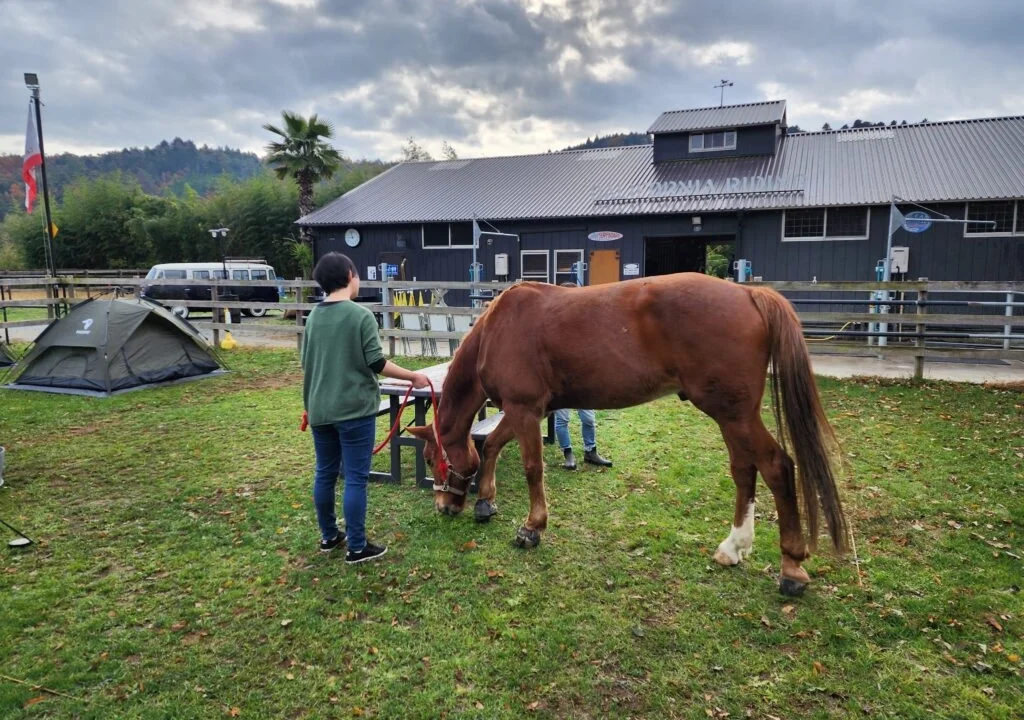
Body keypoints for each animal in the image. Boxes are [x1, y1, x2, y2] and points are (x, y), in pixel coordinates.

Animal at [407, 272, 847, 594]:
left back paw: (791, 567)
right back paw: (733, 547)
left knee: (776, 466)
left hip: (735, 415)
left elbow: (532, 467)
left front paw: (532, 527)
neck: (496, 330)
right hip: (731, 417)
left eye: (429, 459)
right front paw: (486, 502)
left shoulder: (524, 408)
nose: (444, 507)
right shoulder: (523, 411)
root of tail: (748, 293)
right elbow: (493, 445)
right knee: (744, 471)